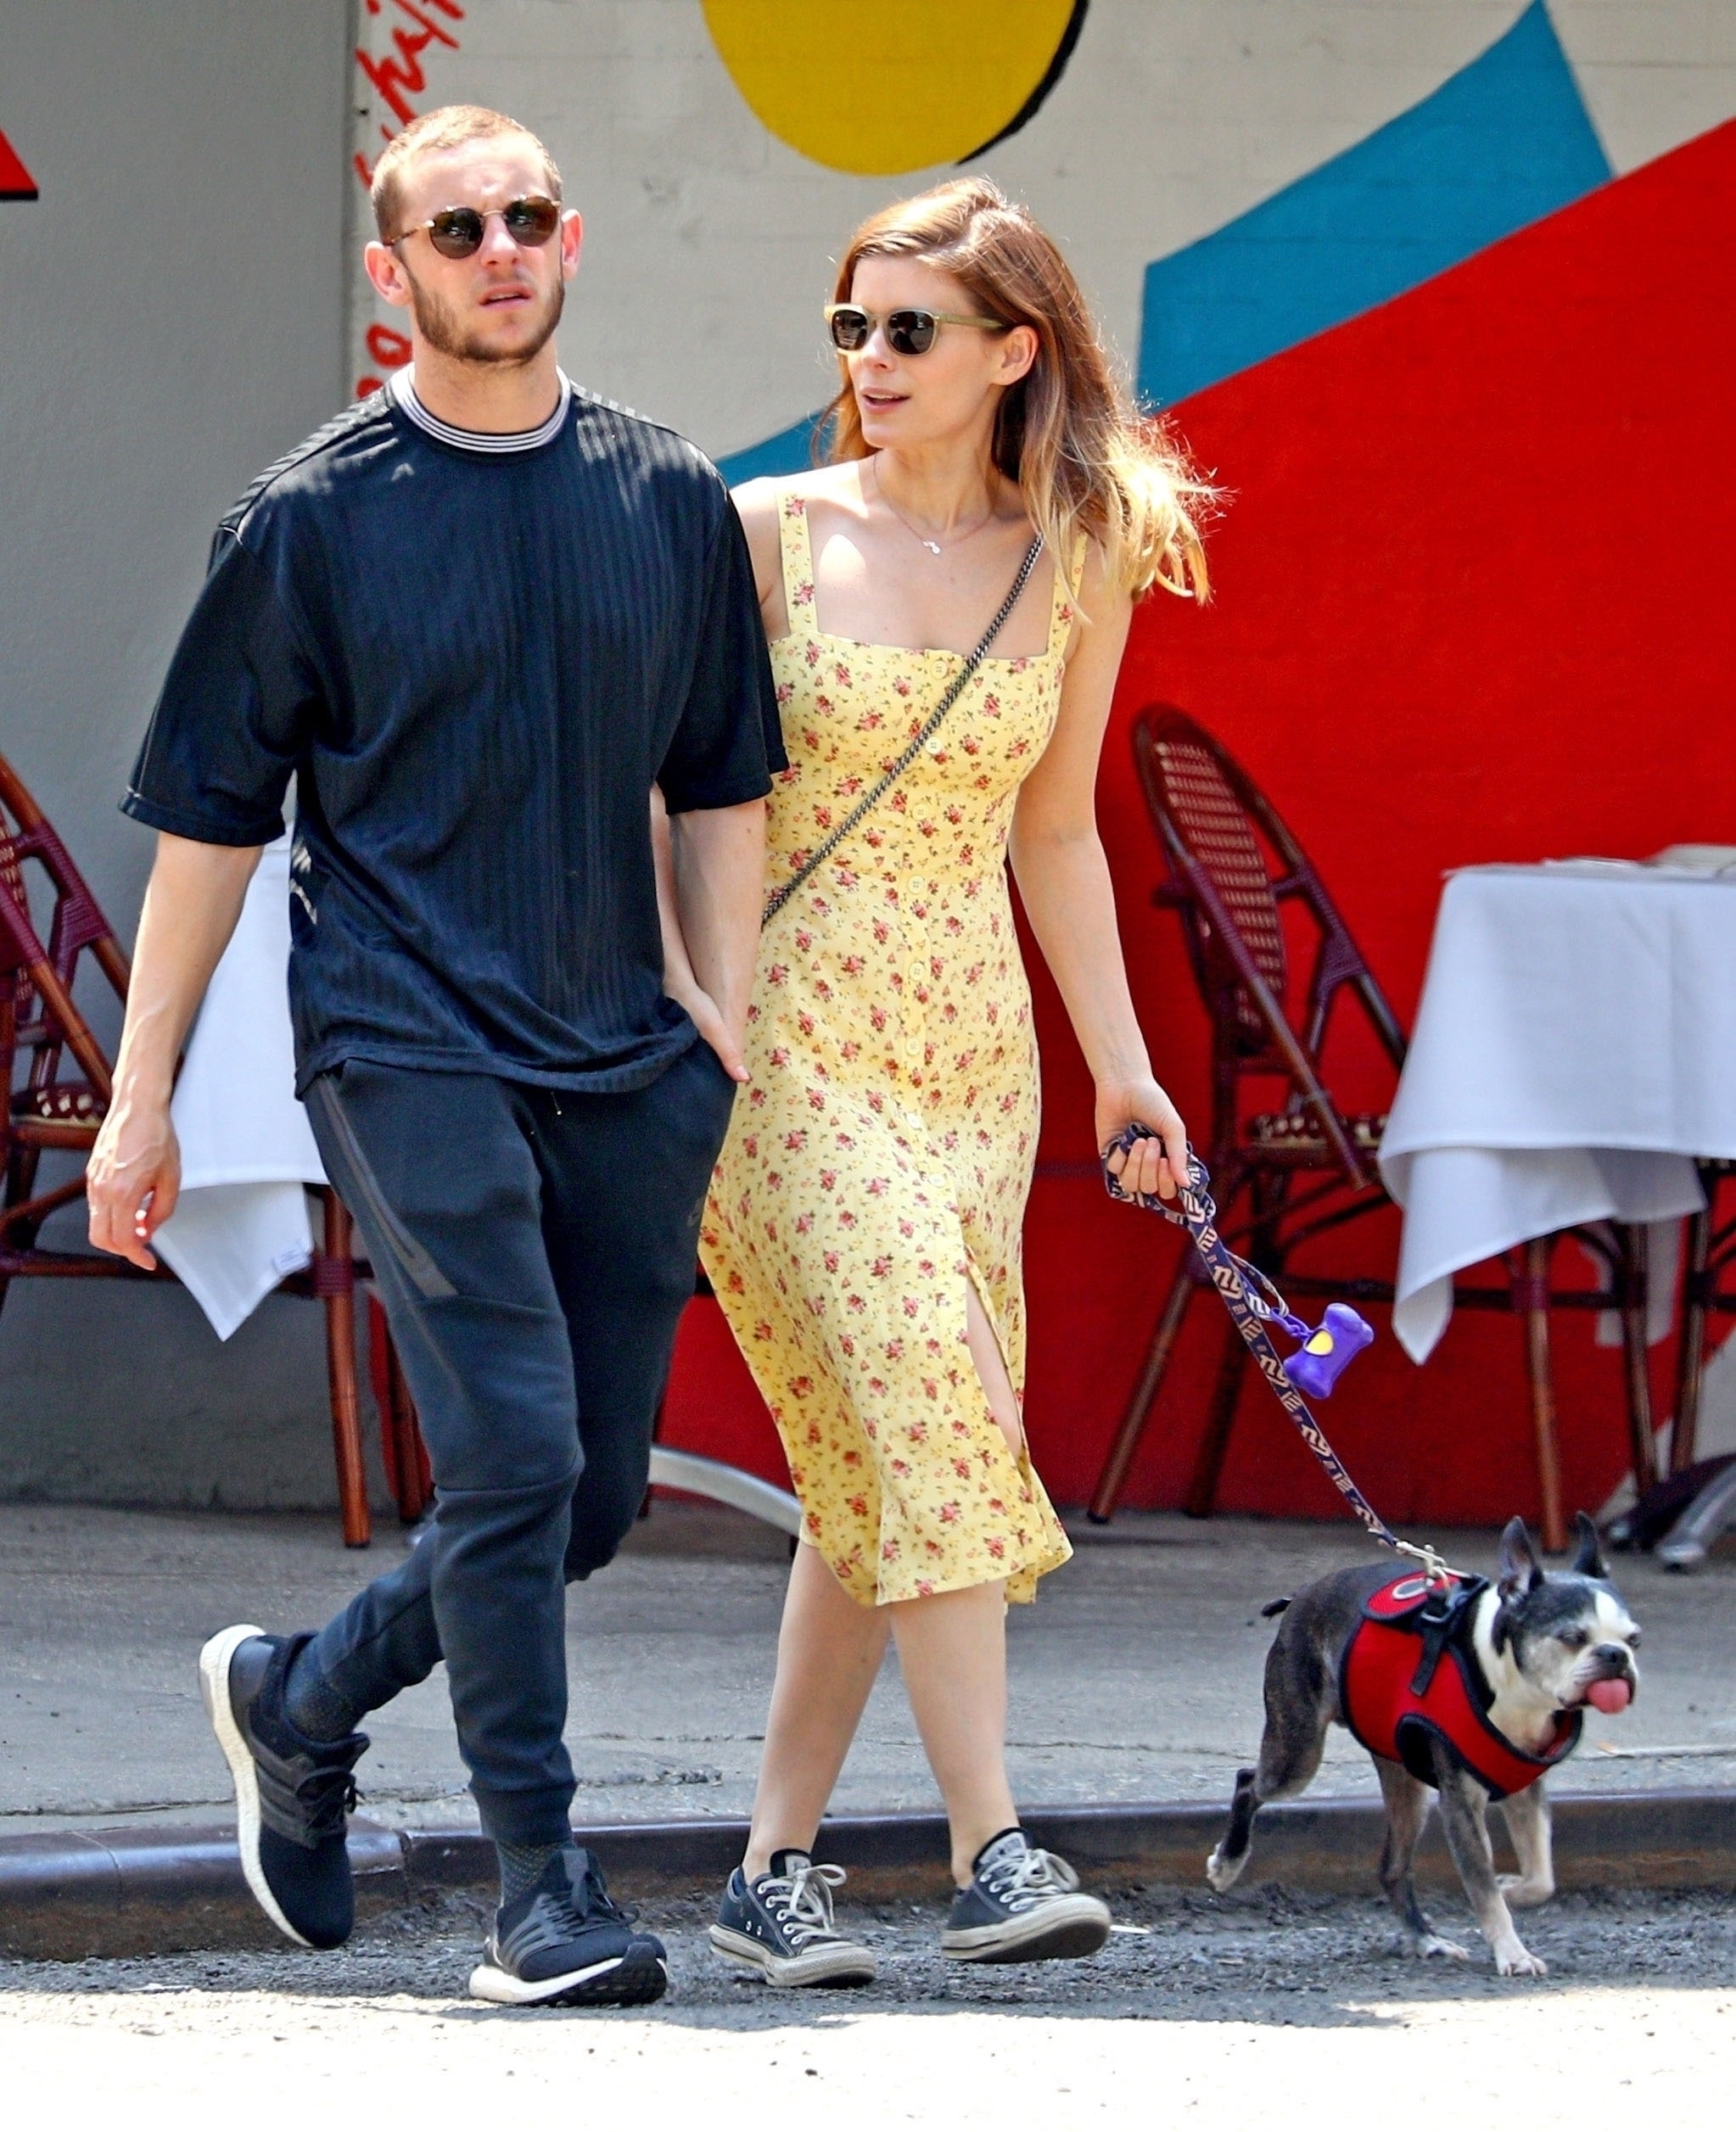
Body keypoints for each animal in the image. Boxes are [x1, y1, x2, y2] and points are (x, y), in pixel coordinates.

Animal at [1206, 1513, 1640, 1976]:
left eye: (1634, 1640)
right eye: (1572, 1638)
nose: (1615, 1655)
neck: (1512, 1686)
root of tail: (1304, 1594)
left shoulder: (1526, 1791)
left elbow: (1542, 1877)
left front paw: (1511, 1887)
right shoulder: (1461, 1805)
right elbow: (1482, 1887)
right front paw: (1513, 1952)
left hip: (1405, 1785)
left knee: (1393, 1867)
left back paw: (1425, 1939)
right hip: (1297, 1755)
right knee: (1250, 1782)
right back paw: (1228, 1863)